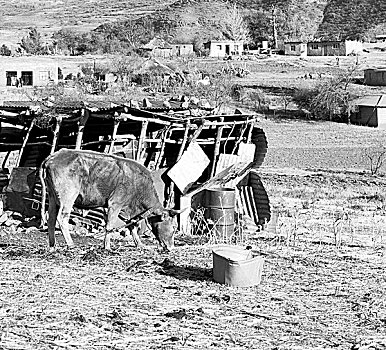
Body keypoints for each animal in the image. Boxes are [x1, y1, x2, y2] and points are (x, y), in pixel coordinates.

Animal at [38, 149, 180, 253]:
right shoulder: (115, 203)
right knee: (61, 218)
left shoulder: (127, 210)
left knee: (51, 219)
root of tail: (53, 156)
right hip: (68, 196)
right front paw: (107, 247)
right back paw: (71, 244)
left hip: (52, 197)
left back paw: (52, 245)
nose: (171, 247)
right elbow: (110, 226)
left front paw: (140, 245)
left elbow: (132, 226)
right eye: (173, 227)